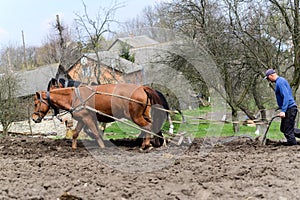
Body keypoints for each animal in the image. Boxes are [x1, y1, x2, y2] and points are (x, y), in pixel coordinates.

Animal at [31, 83, 168, 150]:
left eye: (36, 103)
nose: (33, 118)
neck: (73, 97)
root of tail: (142, 88)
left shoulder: (87, 118)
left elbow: (96, 133)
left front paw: (102, 146)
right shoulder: (82, 119)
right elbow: (75, 133)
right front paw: (74, 147)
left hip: (135, 116)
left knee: (148, 127)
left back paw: (146, 145)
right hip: (143, 114)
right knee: (153, 126)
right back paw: (155, 142)